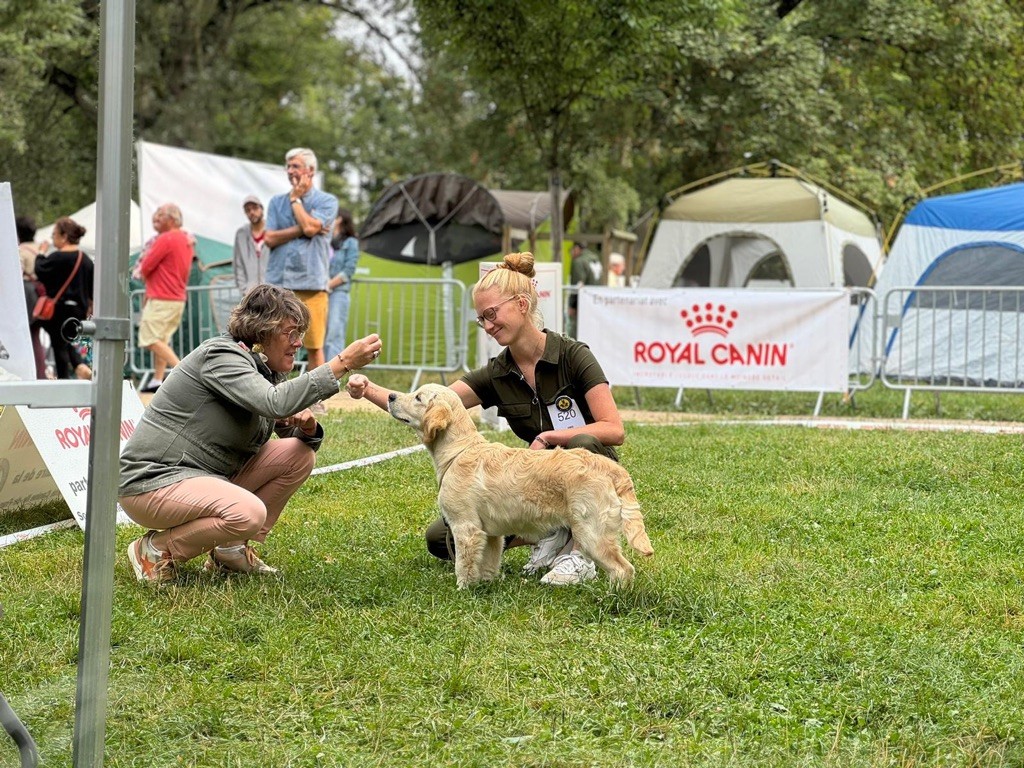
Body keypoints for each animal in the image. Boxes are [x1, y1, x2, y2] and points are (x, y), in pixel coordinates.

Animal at [387, 384, 654, 588]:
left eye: (418, 397)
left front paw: (462, 590)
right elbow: (488, 563)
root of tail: (610, 468)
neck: (458, 451)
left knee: (623, 569)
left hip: (591, 531)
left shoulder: (465, 528)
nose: (390, 396)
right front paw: (486, 586)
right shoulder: (491, 534)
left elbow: (464, 566)